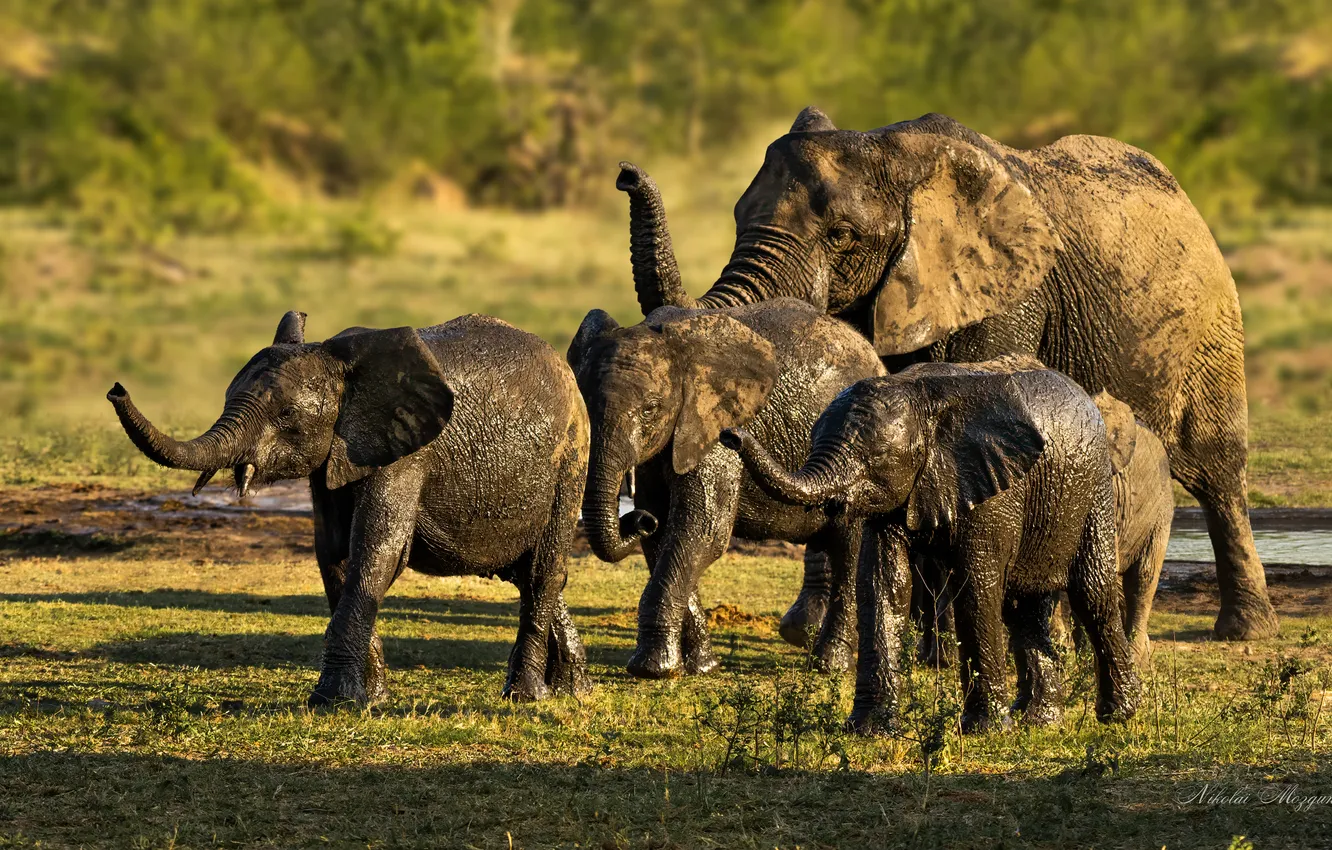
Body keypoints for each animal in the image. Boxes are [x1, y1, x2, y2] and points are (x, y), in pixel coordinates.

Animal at [108, 312, 591, 706]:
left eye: (287, 414)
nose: (115, 388)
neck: (343, 367)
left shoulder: (407, 451)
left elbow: (375, 551)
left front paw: (331, 701)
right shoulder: (332, 459)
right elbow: (334, 553)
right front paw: (369, 700)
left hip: (572, 458)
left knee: (542, 572)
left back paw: (526, 697)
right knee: (528, 574)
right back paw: (572, 690)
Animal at [625, 106, 1276, 641]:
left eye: (841, 236)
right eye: (738, 217)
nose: (626, 173)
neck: (897, 154)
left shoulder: (1008, 292)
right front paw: (817, 633)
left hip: (1213, 330)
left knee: (1217, 470)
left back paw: (1243, 630)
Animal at [721, 356, 1139, 733]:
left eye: (877, 457)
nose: (729, 434)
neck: (919, 396)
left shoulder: (993, 488)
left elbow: (976, 588)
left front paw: (985, 731)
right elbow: (885, 583)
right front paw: (869, 729)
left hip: (1095, 490)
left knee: (1092, 593)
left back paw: (1118, 715)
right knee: (1022, 609)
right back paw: (1038, 721)